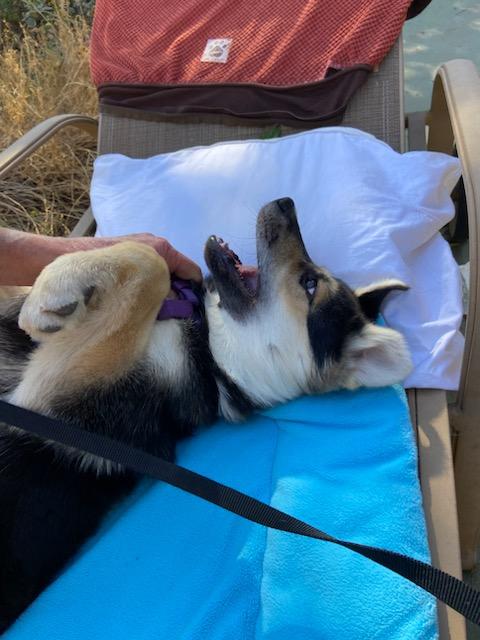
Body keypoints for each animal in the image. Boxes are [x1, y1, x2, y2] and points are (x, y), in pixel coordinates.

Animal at [0, 199, 412, 632]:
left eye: (311, 284)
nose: (285, 202)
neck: (213, 358)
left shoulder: (55, 391)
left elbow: (148, 263)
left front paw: (53, 291)